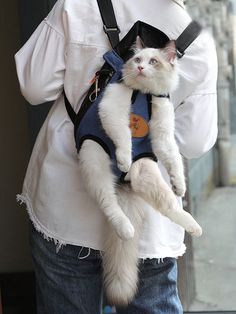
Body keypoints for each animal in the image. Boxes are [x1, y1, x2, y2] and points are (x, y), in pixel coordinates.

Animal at [78, 38, 203, 306]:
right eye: (137, 59)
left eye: (153, 61)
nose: (141, 67)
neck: (144, 94)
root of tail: (124, 183)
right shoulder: (112, 109)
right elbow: (123, 136)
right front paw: (124, 157)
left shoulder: (163, 132)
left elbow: (173, 159)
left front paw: (180, 184)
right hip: (94, 159)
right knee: (109, 205)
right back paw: (127, 227)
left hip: (145, 171)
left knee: (169, 205)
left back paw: (190, 222)